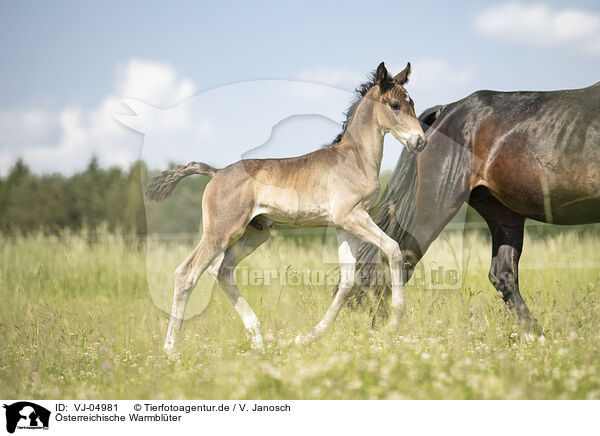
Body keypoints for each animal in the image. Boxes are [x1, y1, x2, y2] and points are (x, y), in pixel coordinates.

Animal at [146, 62, 426, 354]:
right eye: (395, 105)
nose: (420, 141)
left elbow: (347, 281)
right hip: (221, 232)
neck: (355, 159)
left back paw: (257, 338)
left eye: (412, 103)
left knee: (221, 270)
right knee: (187, 273)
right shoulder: (352, 217)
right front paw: (394, 322)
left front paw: (309, 336)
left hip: (255, 233)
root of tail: (216, 172)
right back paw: (171, 350)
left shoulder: (344, 226)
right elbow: (393, 249)